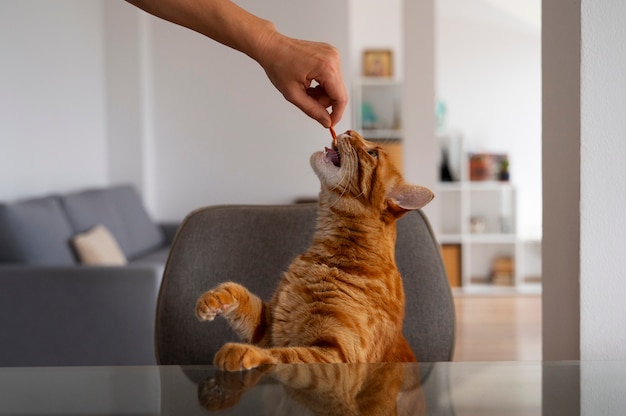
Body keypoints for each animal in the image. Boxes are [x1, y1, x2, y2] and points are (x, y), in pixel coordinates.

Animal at [196, 129, 434, 370]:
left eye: (372, 153)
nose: (349, 131)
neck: (325, 257)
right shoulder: (268, 326)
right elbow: (240, 293)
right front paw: (216, 298)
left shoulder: (337, 357)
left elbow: (284, 355)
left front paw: (241, 352)